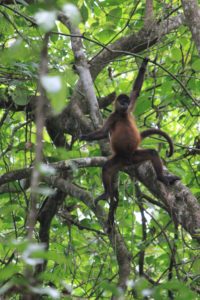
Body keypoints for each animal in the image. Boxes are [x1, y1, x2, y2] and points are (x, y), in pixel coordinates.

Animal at [79, 56, 180, 230]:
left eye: (127, 101)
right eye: (122, 102)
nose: (125, 104)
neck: (122, 115)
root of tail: (127, 160)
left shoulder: (128, 109)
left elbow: (136, 92)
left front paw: (145, 63)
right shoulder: (113, 116)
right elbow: (103, 132)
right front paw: (85, 137)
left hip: (135, 155)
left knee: (152, 153)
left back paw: (161, 178)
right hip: (120, 158)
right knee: (107, 168)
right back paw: (107, 193)